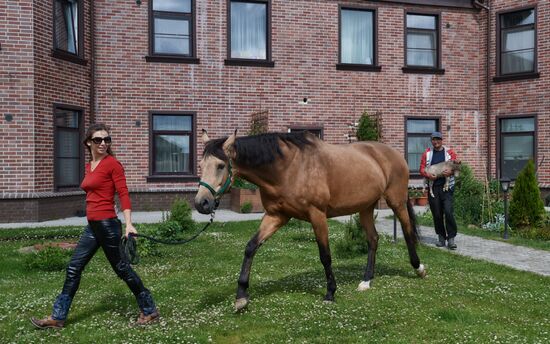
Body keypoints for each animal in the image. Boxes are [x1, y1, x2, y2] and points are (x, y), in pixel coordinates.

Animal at [194, 130, 426, 312]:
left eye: (221, 165)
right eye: (201, 164)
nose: (201, 203)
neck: (288, 169)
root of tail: (393, 154)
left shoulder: (317, 215)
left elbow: (325, 255)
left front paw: (330, 293)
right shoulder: (276, 216)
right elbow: (251, 247)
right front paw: (241, 297)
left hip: (396, 201)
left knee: (407, 230)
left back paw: (418, 268)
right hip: (366, 207)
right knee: (373, 239)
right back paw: (366, 280)